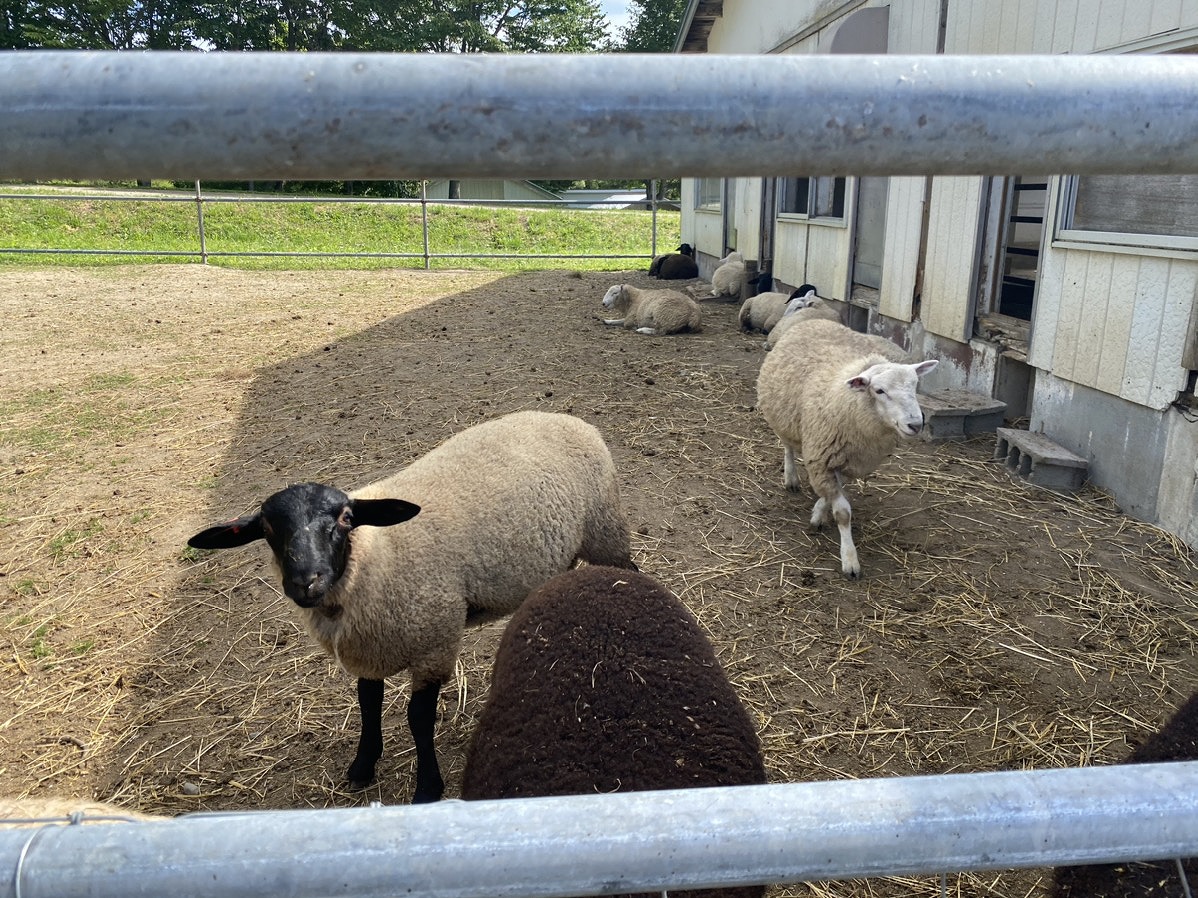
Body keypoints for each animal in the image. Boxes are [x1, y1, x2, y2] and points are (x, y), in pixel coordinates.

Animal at [186, 411, 637, 804]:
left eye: (346, 519)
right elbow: (368, 704)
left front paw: (427, 788)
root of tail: (569, 419)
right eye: (266, 529)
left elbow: (418, 718)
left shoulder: (434, 642)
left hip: (605, 532)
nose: (306, 581)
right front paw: (363, 765)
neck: (376, 553)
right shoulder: (370, 648)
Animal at [752, 320, 939, 579]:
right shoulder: (822, 458)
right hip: (784, 417)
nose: (915, 424)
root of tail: (814, 320)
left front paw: (818, 513)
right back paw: (791, 478)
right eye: (879, 391)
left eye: (915, 386)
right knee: (788, 447)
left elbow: (832, 491)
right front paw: (850, 560)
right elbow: (843, 513)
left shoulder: (848, 460)